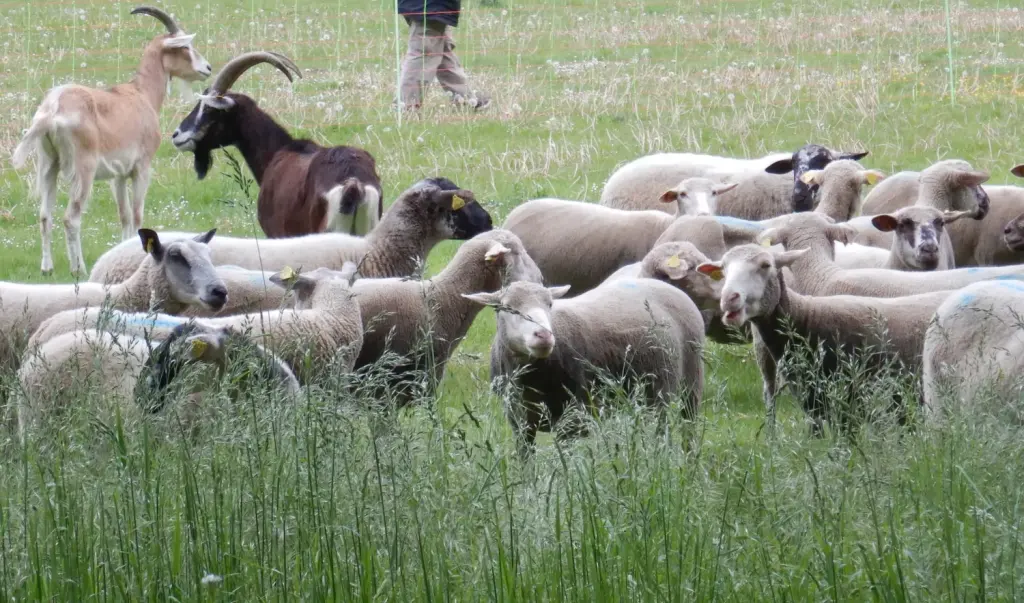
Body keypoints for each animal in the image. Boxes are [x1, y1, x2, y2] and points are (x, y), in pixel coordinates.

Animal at [11, 7, 211, 276]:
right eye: (185, 46)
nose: (207, 68)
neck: (140, 94)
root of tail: (52, 109)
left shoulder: (118, 176)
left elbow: (124, 215)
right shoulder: (141, 168)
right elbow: (136, 215)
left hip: (48, 164)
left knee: (45, 215)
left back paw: (47, 268)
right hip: (83, 171)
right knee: (71, 218)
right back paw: (79, 269)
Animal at [464, 278, 705, 455]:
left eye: (549, 304)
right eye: (507, 308)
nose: (544, 335)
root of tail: (668, 286)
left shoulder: (575, 416)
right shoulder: (519, 421)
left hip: (688, 384)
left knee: (685, 429)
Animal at [696, 244, 955, 433]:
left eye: (765, 265)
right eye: (723, 270)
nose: (729, 298)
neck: (808, 320)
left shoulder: (850, 403)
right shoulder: (817, 404)